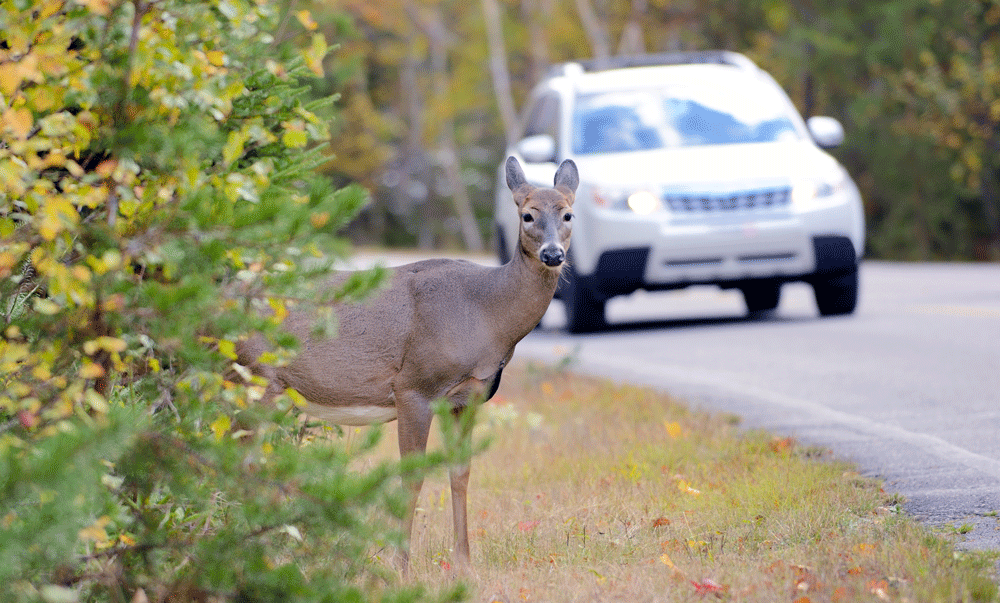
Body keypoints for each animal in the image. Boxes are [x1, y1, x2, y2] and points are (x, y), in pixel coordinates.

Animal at [234, 156, 580, 572]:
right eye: (527, 215)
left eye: (568, 214)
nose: (552, 255)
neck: (485, 312)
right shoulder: (414, 386)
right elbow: (411, 478)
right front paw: (400, 566)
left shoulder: (468, 397)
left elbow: (461, 472)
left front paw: (464, 564)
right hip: (255, 376)